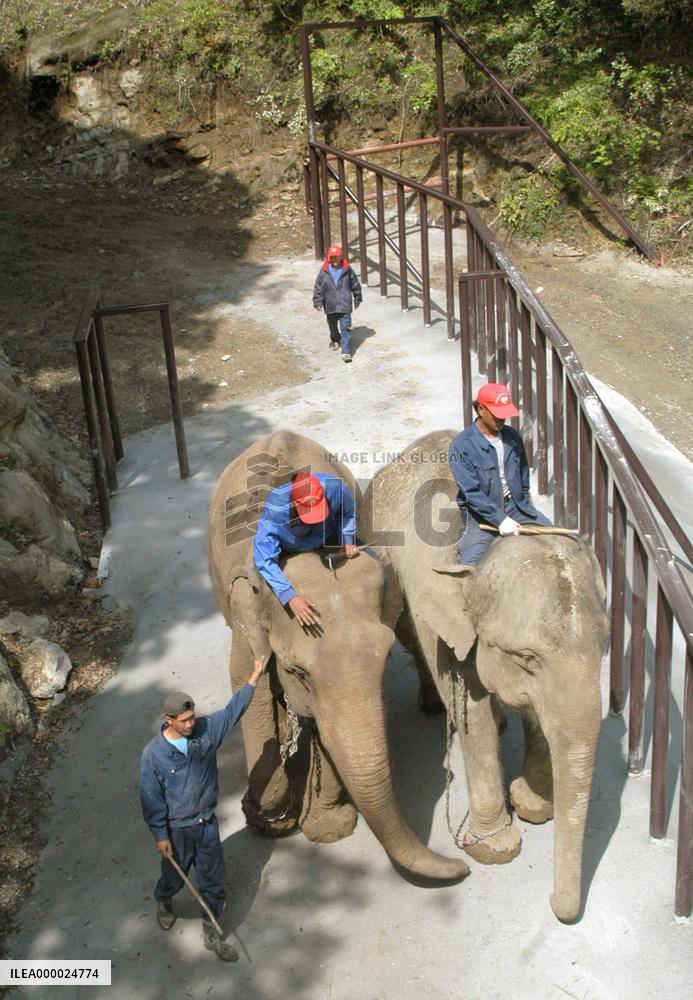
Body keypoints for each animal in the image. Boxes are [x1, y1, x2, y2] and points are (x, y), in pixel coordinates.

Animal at [208, 430, 468, 882]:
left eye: (382, 663)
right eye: (297, 670)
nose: (463, 863)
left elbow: (325, 729)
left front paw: (328, 827)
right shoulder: (245, 626)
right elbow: (250, 691)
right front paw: (270, 815)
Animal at [362, 430, 609, 921]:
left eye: (606, 646)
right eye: (527, 657)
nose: (556, 906)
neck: (479, 564)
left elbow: (535, 711)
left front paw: (533, 806)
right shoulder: (449, 628)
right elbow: (470, 713)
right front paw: (495, 847)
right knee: (408, 634)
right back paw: (437, 708)